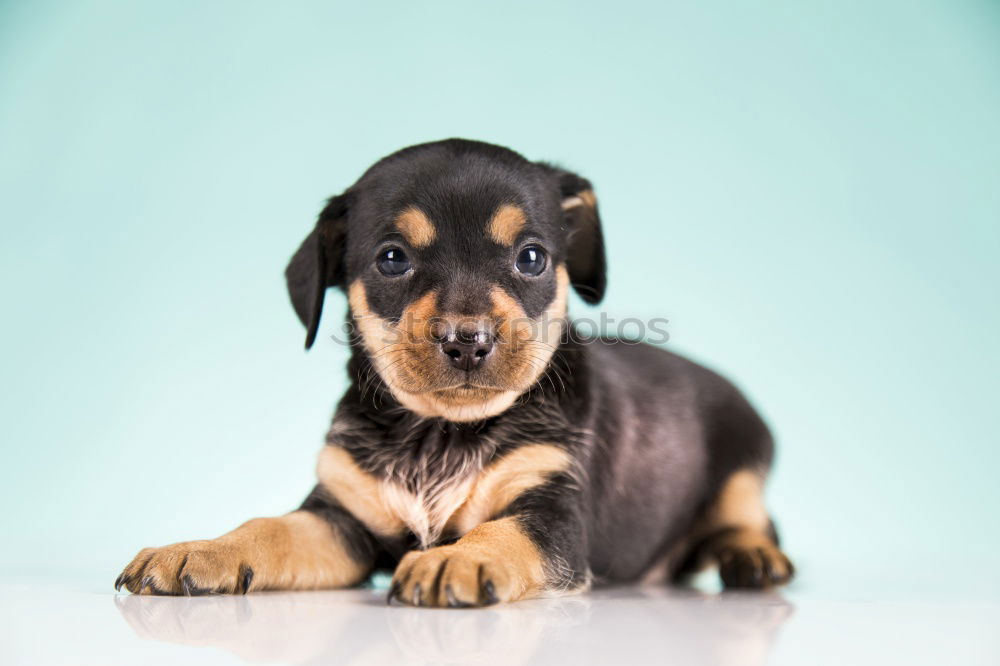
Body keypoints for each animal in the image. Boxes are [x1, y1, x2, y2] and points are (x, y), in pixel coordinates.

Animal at [117, 139, 792, 600]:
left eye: (531, 258)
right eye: (393, 259)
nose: (467, 340)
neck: (437, 433)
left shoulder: (555, 516)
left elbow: (503, 532)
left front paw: (457, 559)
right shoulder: (338, 519)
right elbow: (269, 527)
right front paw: (200, 551)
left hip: (742, 466)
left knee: (755, 520)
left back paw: (753, 558)